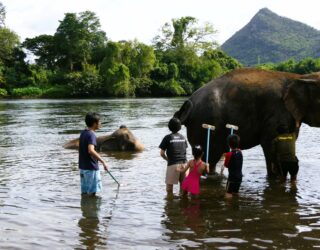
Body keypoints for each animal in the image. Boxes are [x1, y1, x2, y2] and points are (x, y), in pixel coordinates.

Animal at [174, 66, 320, 176]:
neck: (300, 76)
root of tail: (188, 103)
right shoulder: (278, 112)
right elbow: (269, 143)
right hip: (205, 122)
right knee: (210, 156)